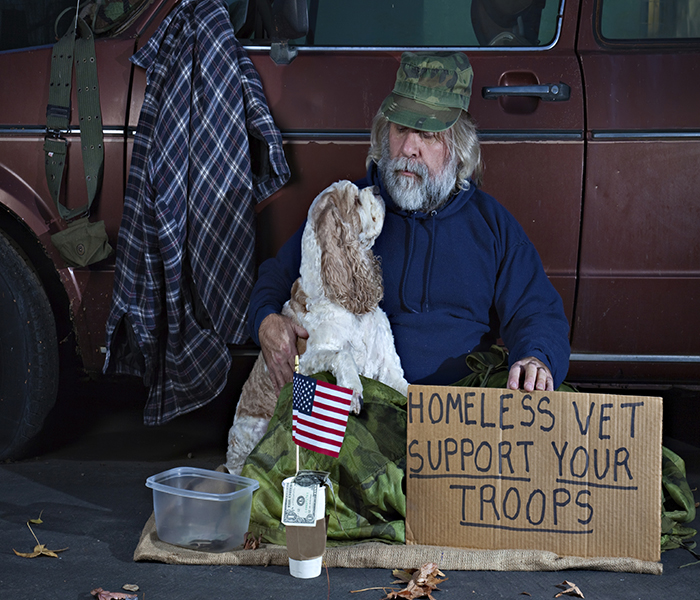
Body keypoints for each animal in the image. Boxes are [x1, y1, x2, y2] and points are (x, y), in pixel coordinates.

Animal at [227, 180, 408, 476]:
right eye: (355, 200)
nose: (377, 189)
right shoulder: (306, 361)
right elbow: (342, 355)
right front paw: (354, 391)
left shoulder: (390, 369)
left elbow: (409, 389)